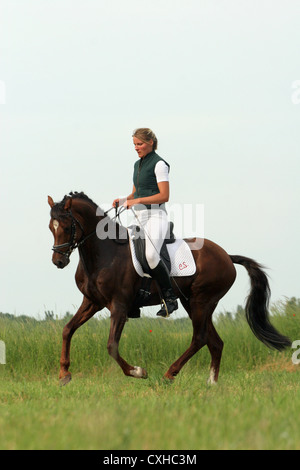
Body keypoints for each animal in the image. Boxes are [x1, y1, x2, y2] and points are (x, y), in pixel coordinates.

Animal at [47, 191, 290, 386]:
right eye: (51, 227)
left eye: (67, 227)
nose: (58, 261)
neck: (104, 252)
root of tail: (227, 256)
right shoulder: (92, 302)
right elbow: (67, 329)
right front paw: (64, 374)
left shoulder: (119, 305)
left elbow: (111, 346)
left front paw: (138, 371)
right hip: (193, 303)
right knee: (215, 342)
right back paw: (211, 382)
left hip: (202, 301)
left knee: (200, 338)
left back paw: (170, 373)